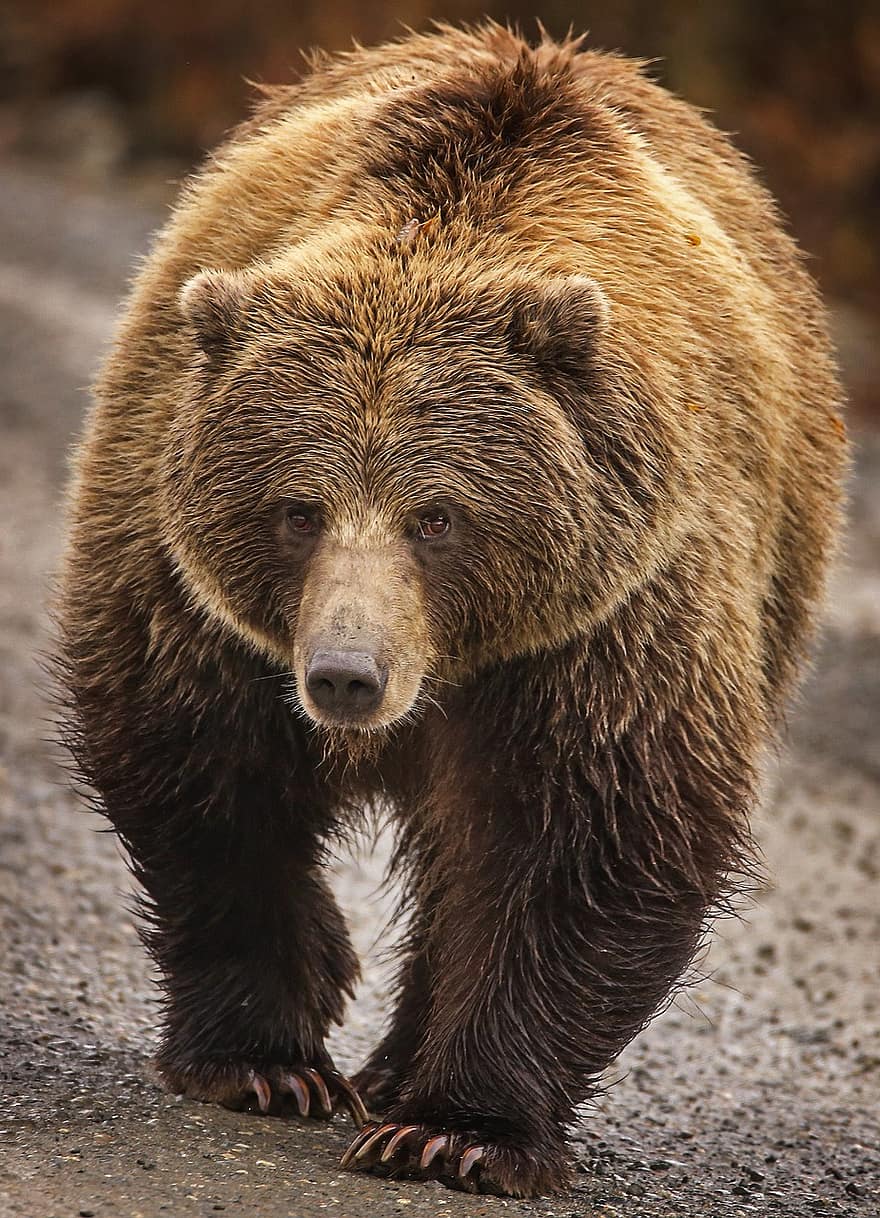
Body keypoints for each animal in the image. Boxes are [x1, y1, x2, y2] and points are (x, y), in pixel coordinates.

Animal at [54, 19, 843, 1198]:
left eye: (436, 515)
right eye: (298, 508)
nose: (346, 674)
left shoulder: (615, 616)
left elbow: (593, 835)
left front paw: (457, 1128)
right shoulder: (185, 579)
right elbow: (201, 771)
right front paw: (265, 1057)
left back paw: (399, 1071)